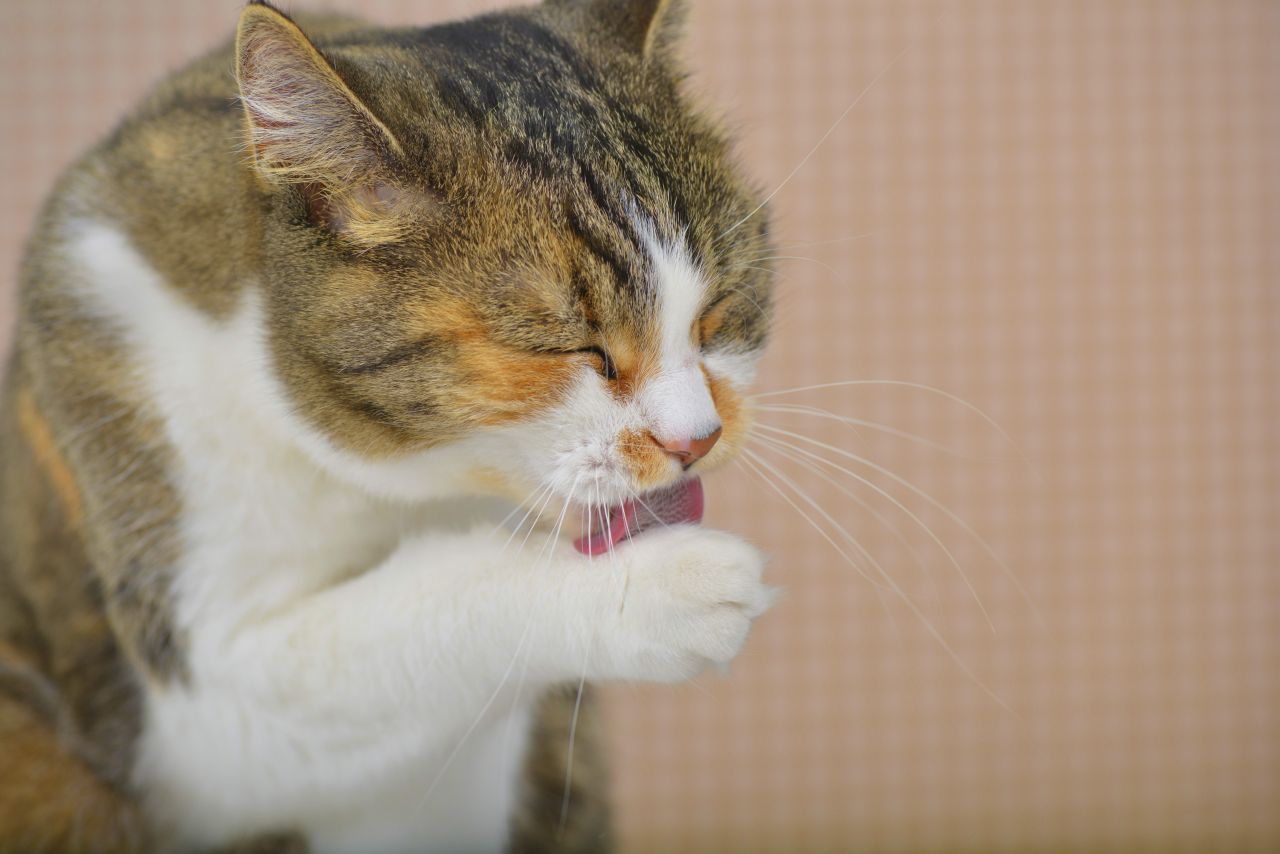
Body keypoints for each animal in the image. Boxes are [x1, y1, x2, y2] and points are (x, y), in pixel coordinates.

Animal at [0, 1, 773, 850]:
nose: (695, 440)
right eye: (572, 347)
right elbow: (418, 614)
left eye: (717, 313)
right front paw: (655, 586)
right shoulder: (191, 722)